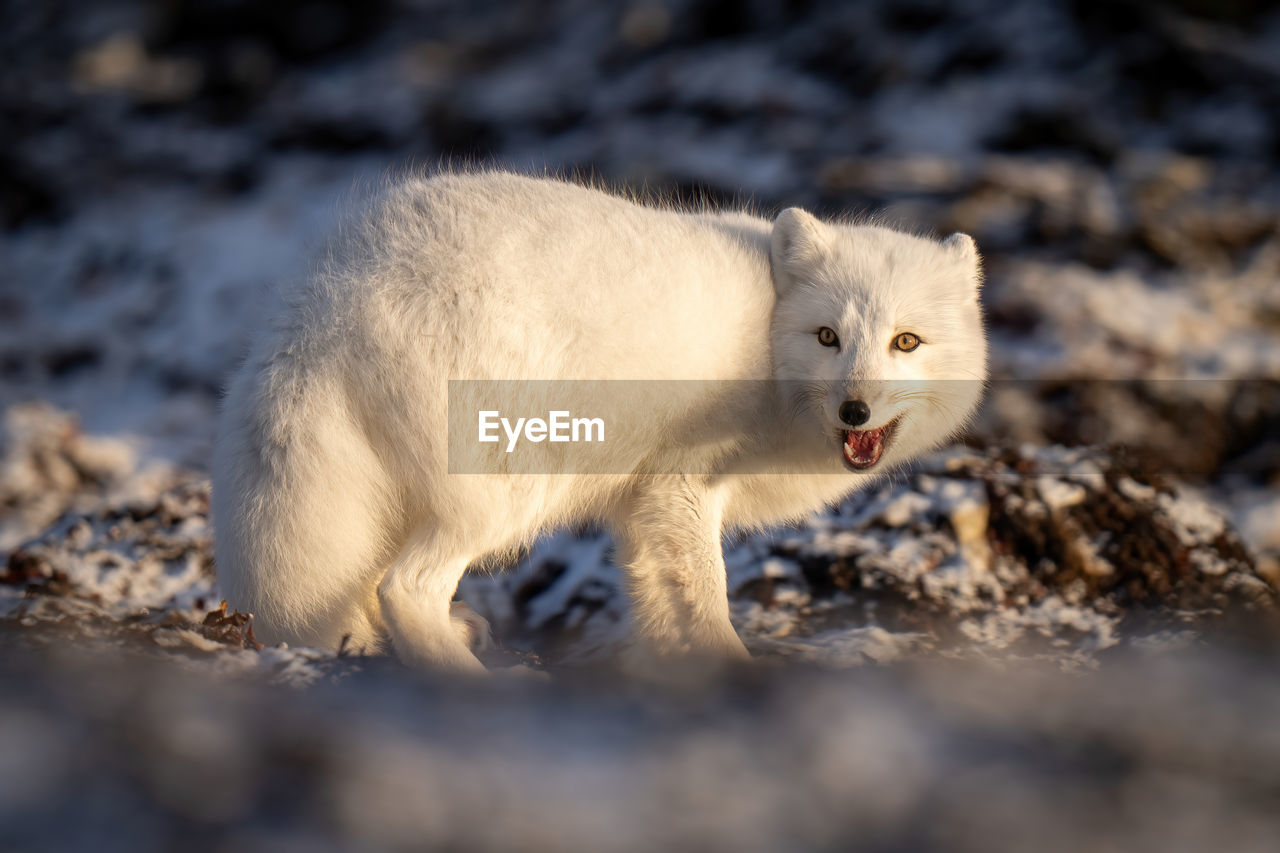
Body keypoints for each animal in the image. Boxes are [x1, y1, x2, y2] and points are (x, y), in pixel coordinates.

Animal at [212, 169, 988, 666]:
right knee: (405, 589)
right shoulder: (681, 486)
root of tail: (328, 294)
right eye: (827, 336)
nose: (855, 407)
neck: (768, 347)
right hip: (510, 485)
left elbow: (662, 609)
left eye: (906, 342)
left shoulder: (640, 508)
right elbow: (709, 602)